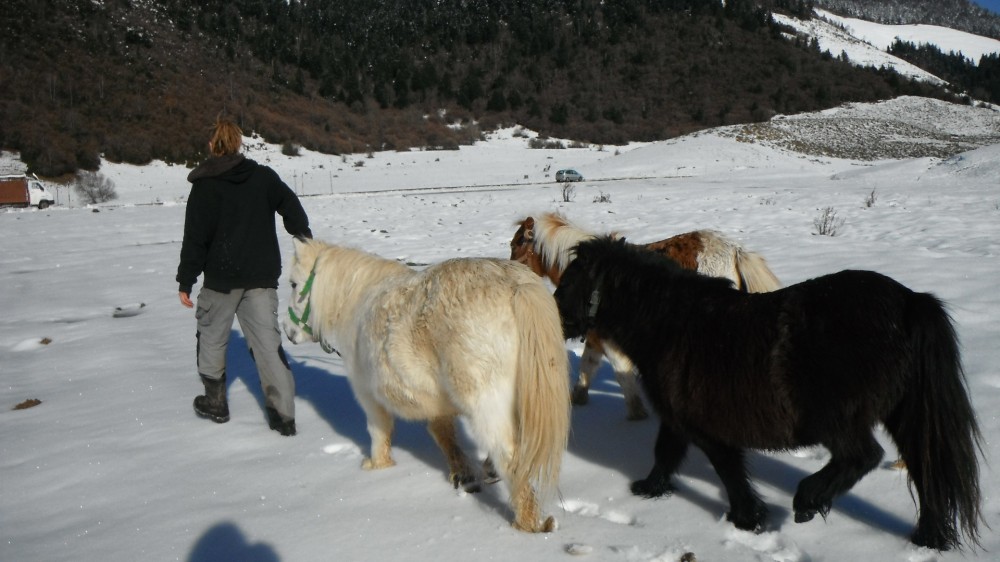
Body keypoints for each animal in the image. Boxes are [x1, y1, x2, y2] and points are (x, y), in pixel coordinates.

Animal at [282, 236, 572, 528]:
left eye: (293, 284)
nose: (288, 331)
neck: (359, 301)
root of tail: (517, 286)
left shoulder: (368, 395)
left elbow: (379, 431)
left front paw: (378, 466)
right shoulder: (437, 403)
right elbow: (444, 435)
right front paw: (462, 475)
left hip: (486, 404)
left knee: (509, 456)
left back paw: (526, 523)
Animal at [508, 212, 780, 418]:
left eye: (518, 242)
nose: (511, 272)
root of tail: (735, 251)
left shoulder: (610, 339)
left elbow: (621, 371)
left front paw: (637, 412)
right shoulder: (596, 337)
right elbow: (588, 367)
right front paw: (578, 398)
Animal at [556, 235, 984, 548]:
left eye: (566, 286)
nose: (556, 324)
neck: (669, 322)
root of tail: (910, 302)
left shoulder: (704, 427)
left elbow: (727, 470)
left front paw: (749, 519)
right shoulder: (677, 420)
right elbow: (666, 454)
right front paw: (649, 490)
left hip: (836, 418)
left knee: (862, 456)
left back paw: (808, 501)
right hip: (906, 416)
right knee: (926, 473)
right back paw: (928, 539)